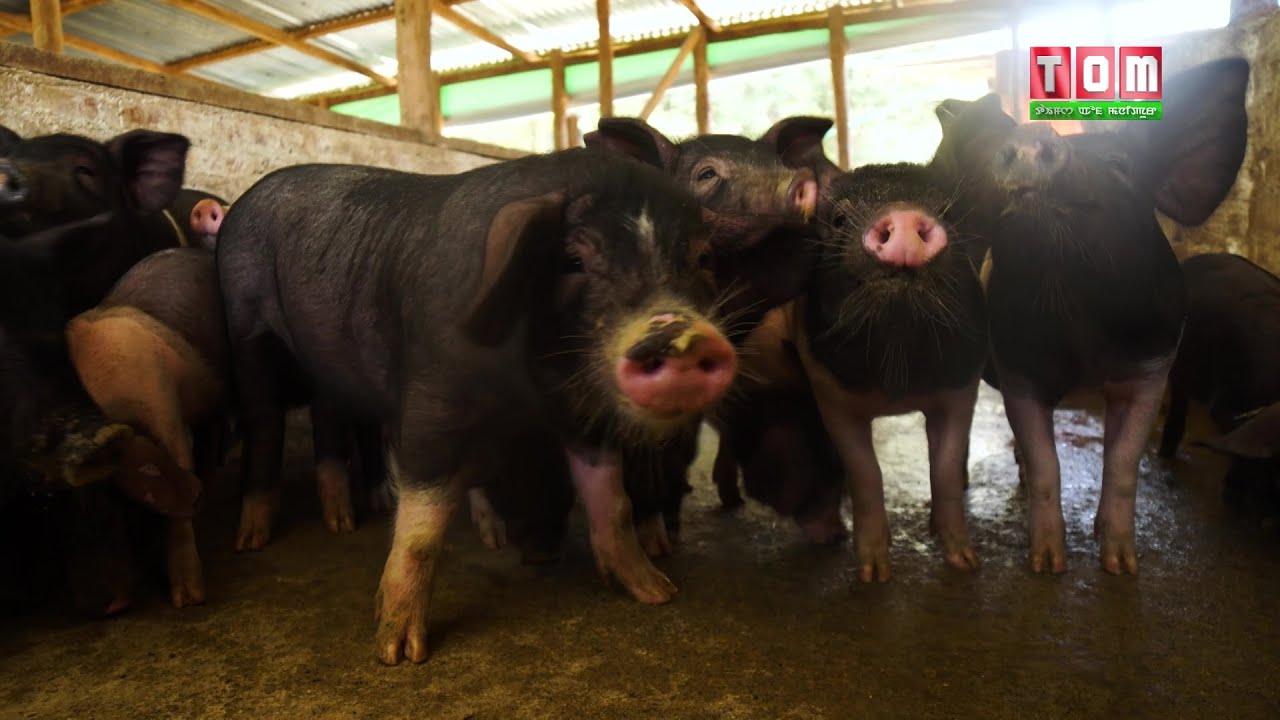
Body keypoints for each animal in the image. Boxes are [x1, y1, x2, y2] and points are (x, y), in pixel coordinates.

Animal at [216, 148, 810, 664]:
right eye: (574, 259)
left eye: (702, 258)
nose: (678, 334)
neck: (532, 388)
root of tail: (247, 197)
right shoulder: (432, 401)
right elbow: (422, 529)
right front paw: (398, 652)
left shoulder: (583, 413)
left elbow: (612, 502)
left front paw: (656, 591)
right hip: (245, 324)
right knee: (266, 423)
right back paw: (255, 540)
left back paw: (365, 519)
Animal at [928, 57, 1251, 575]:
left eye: (1120, 166)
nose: (1032, 135)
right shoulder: (1018, 370)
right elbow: (1047, 466)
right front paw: (1047, 566)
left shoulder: (1152, 367)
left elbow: (1122, 464)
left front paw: (1122, 566)